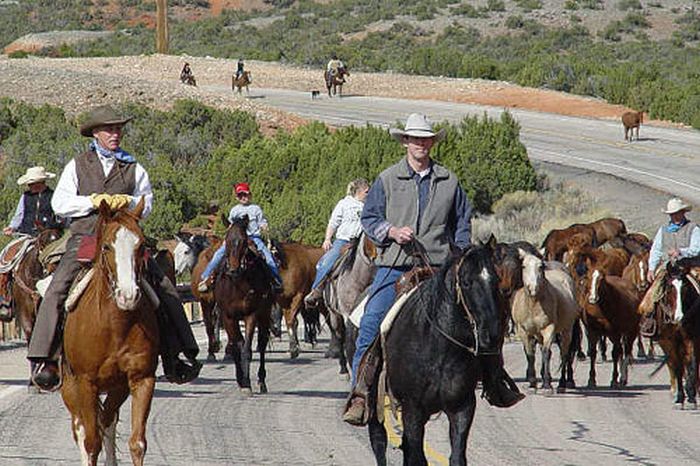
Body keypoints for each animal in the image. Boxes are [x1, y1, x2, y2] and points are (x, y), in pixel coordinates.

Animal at [61, 200, 159, 466]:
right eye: (106, 246)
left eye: (141, 245)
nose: (128, 295)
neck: (114, 327)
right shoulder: (85, 383)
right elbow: (91, 443)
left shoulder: (141, 379)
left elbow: (137, 443)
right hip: (70, 387)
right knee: (81, 428)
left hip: (117, 388)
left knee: (107, 419)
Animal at [213, 218, 274, 394]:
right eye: (227, 240)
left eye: (243, 242)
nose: (233, 270)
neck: (237, 284)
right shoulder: (227, 317)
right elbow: (236, 347)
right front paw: (240, 380)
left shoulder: (251, 315)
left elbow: (246, 349)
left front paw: (246, 383)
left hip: (265, 313)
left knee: (262, 343)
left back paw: (262, 381)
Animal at [366, 244, 504, 466]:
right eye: (466, 282)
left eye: (497, 280)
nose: (491, 335)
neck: (440, 352)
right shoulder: (413, 409)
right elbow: (417, 458)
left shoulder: (462, 407)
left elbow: (457, 456)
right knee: (378, 440)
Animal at [508, 249, 580, 392]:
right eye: (523, 266)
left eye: (540, 266)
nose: (533, 288)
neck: (533, 305)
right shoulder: (524, 331)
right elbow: (530, 354)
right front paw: (532, 382)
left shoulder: (549, 329)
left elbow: (546, 353)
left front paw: (547, 384)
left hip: (566, 330)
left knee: (565, 353)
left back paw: (564, 382)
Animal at [576, 253, 640, 388]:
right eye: (588, 276)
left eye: (602, 278)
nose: (593, 298)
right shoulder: (592, 331)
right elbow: (593, 353)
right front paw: (591, 380)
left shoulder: (615, 332)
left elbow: (615, 353)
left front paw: (614, 380)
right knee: (622, 350)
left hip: (631, 331)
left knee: (626, 351)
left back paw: (623, 378)